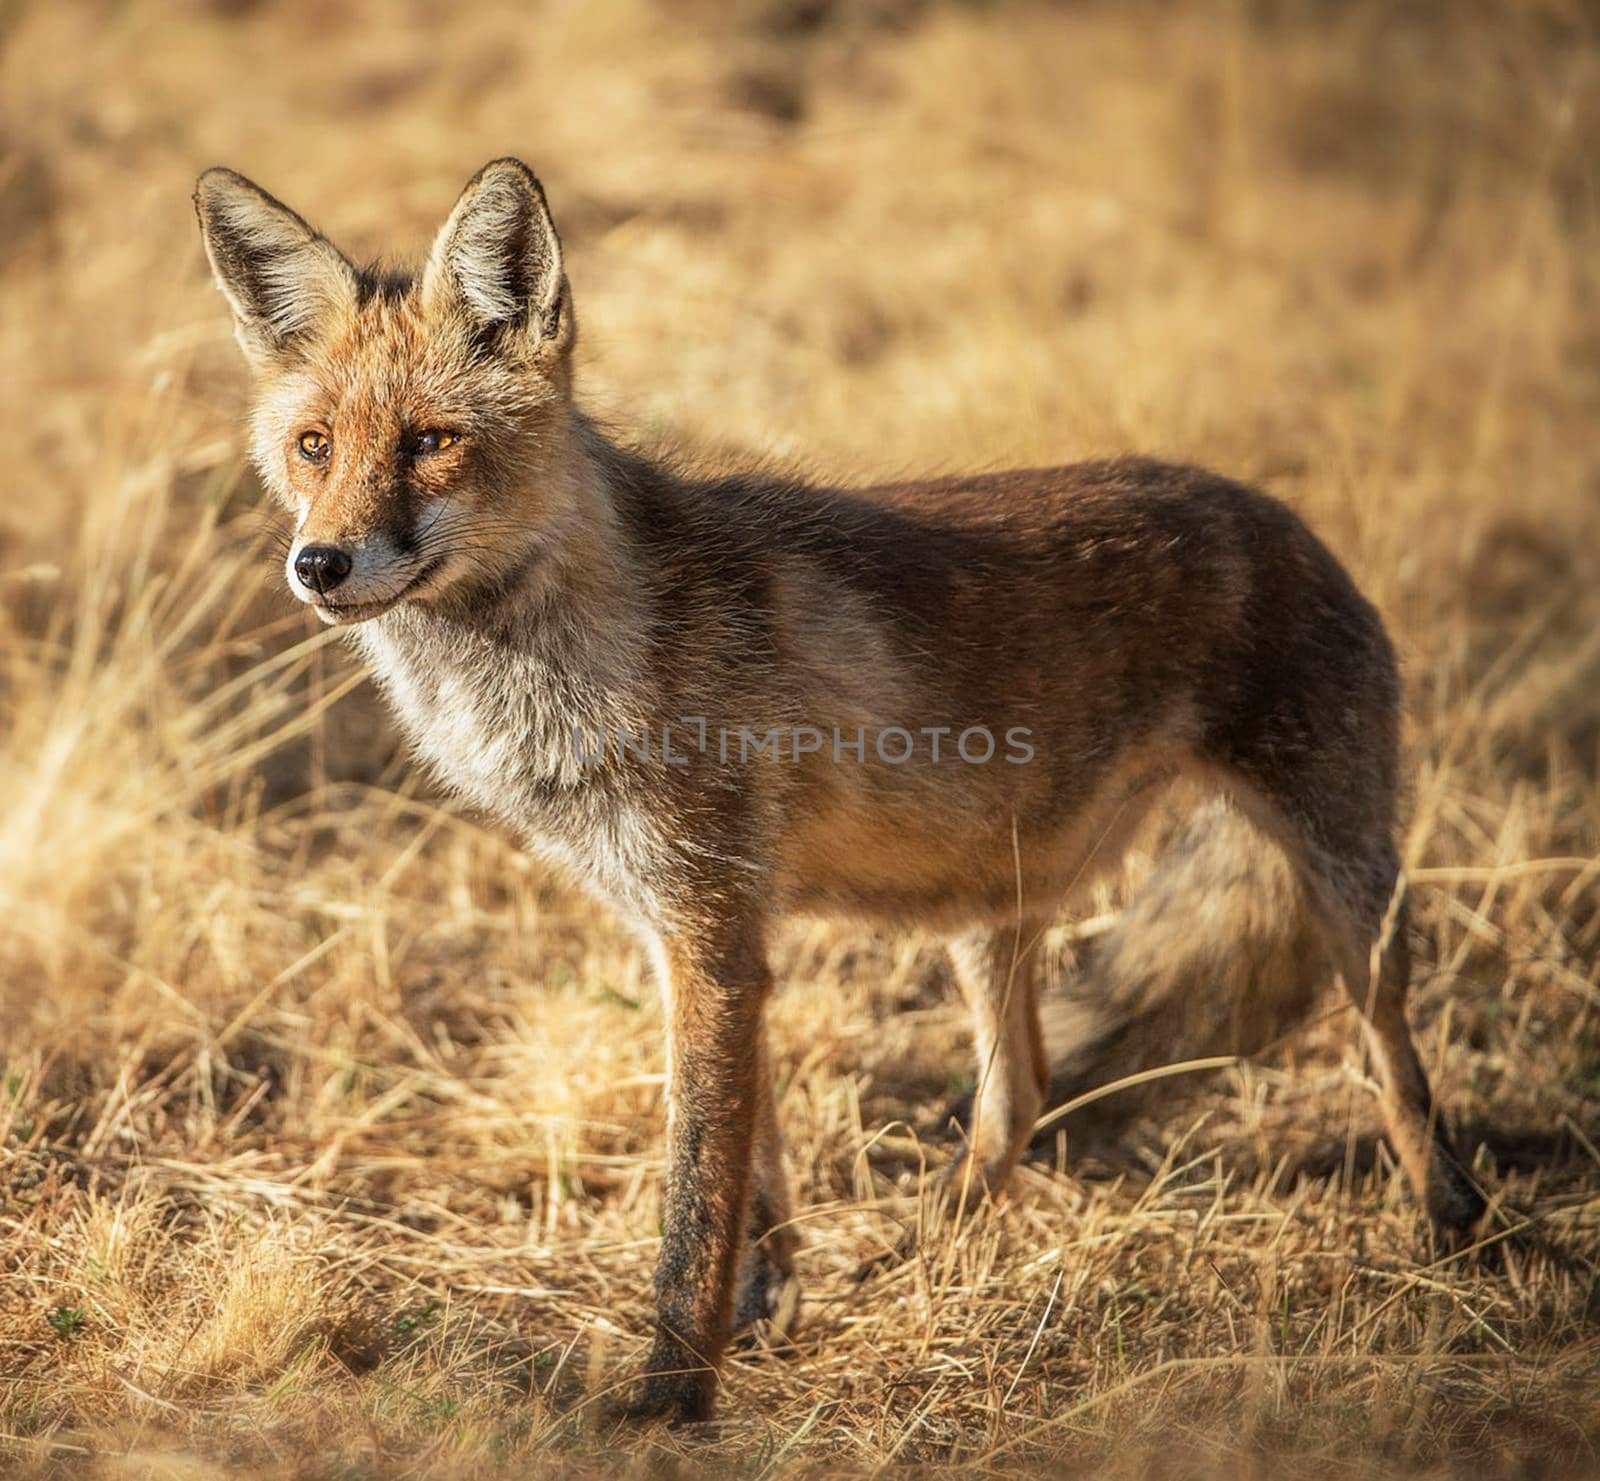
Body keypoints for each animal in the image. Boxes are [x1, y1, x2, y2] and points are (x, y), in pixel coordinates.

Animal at [196, 159, 1484, 1426]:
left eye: (430, 441)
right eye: (315, 445)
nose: (319, 564)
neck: (582, 649)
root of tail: (1281, 513)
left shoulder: (712, 928)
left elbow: (693, 1201)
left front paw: (670, 1397)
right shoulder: (689, 931)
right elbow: (753, 1172)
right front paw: (767, 1308)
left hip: (1346, 890)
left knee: (1394, 1064)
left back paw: (1452, 1228)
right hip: (990, 914)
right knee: (1020, 1092)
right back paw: (932, 1246)